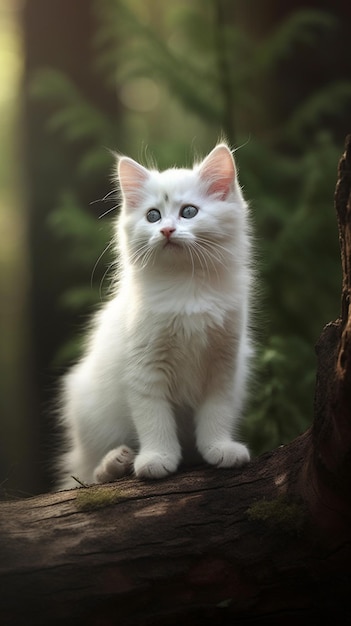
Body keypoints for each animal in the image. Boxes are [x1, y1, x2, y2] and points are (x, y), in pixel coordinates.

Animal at [57, 145, 254, 488]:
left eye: (189, 212)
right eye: (153, 216)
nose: (166, 230)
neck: (186, 286)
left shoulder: (223, 363)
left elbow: (216, 412)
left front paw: (219, 448)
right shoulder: (143, 367)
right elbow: (154, 418)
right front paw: (157, 458)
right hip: (91, 413)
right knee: (88, 475)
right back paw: (115, 463)